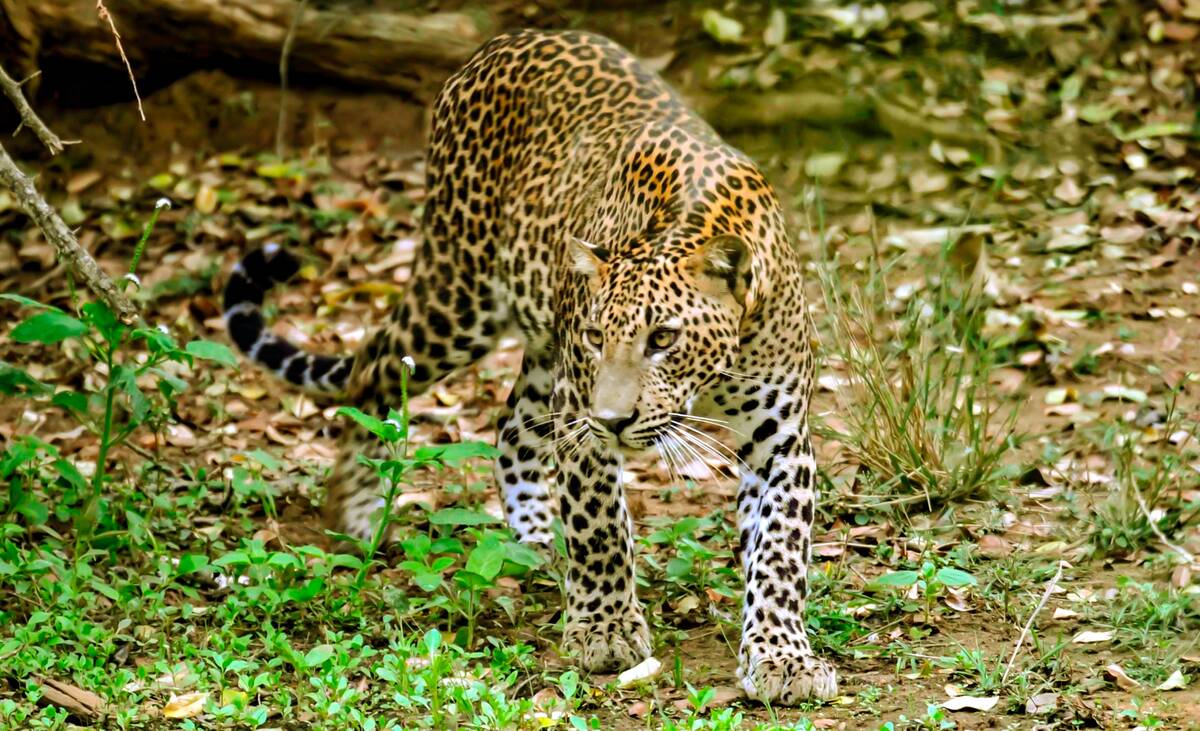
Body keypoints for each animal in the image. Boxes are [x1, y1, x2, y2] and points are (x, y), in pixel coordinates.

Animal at [222, 29, 837, 704]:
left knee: (512, 427)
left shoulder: (781, 438)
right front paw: (605, 629)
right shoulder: (581, 417)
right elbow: (599, 526)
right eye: (598, 336)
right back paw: (356, 516)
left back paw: (534, 542)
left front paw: (782, 657)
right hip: (460, 299)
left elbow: (780, 551)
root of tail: (505, 40)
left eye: (663, 338)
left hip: (540, 348)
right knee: (375, 372)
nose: (615, 420)